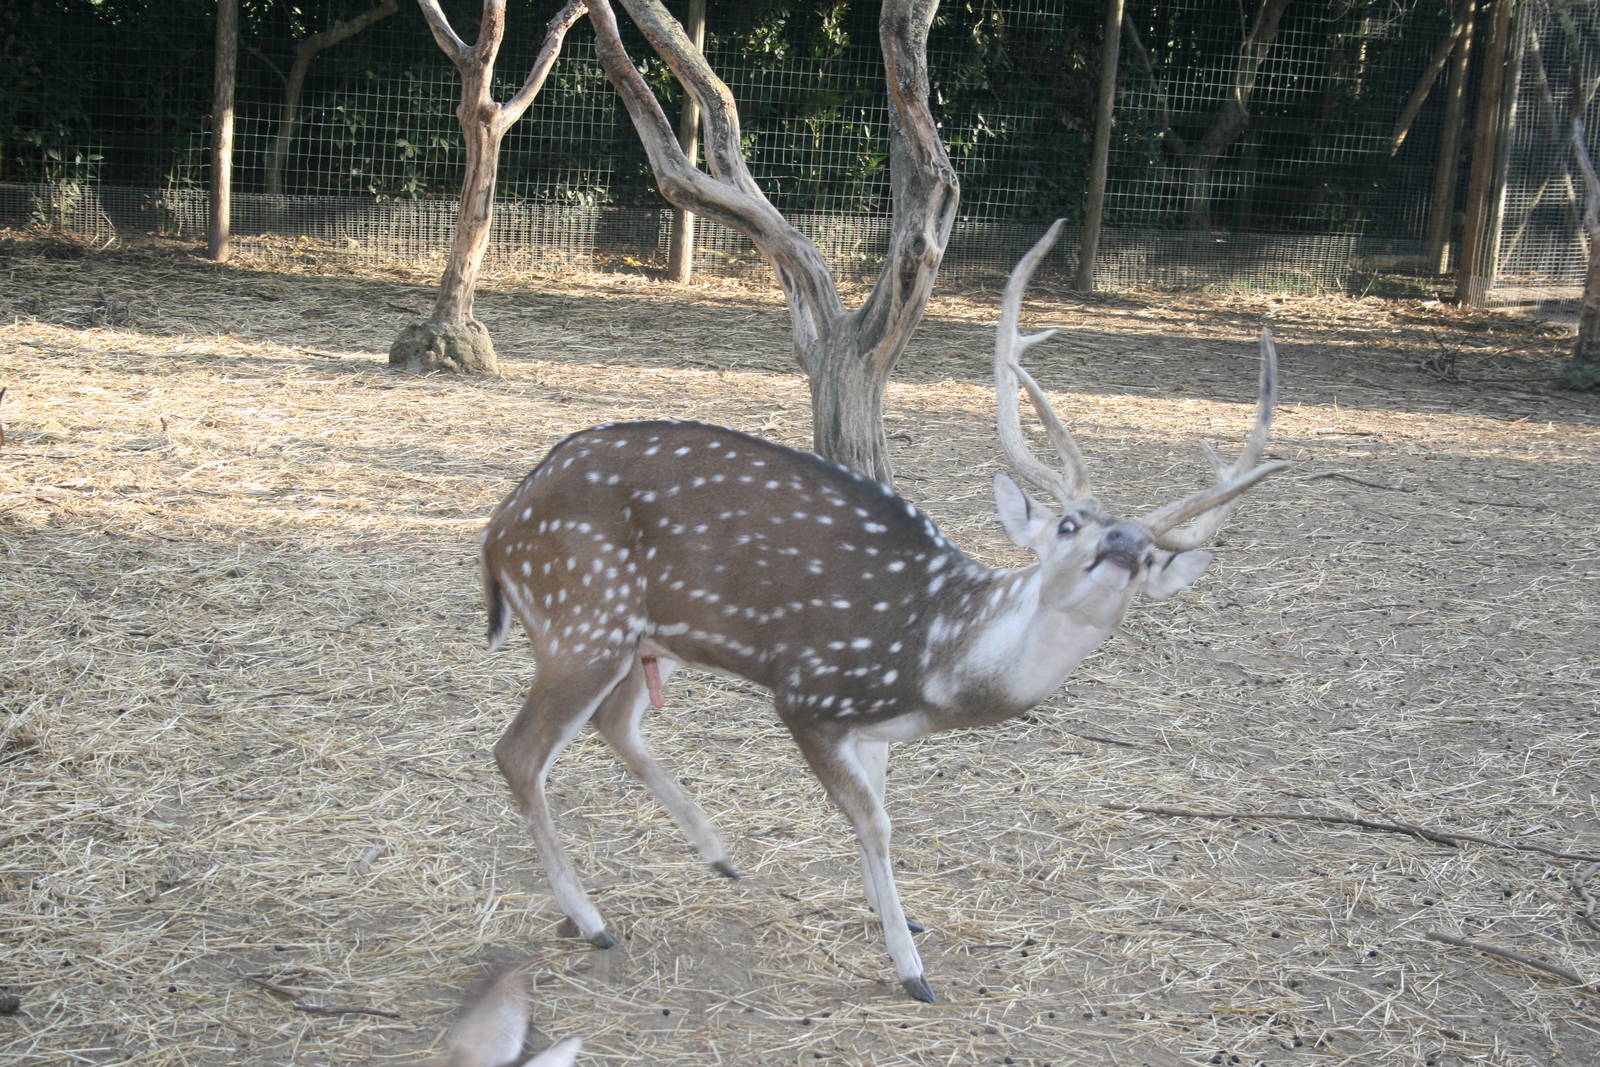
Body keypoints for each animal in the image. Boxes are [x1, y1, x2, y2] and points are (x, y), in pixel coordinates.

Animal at [477, 220, 1286, 1003]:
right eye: (1066, 525)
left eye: (1150, 558)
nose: (1121, 544)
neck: (933, 660)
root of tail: (499, 529)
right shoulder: (811, 696)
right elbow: (876, 819)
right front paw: (911, 969)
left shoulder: (872, 730)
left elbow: (878, 821)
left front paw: (897, 916)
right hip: (583, 613)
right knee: (517, 751)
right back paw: (593, 920)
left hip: (641, 636)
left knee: (615, 722)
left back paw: (718, 854)